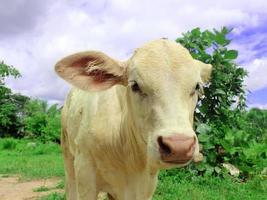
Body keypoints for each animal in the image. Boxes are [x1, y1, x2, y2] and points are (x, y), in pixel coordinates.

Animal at [55, 39, 214, 200]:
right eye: (135, 85)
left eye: (197, 86)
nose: (179, 146)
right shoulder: (85, 176)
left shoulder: (147, 185)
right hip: (68, 158)